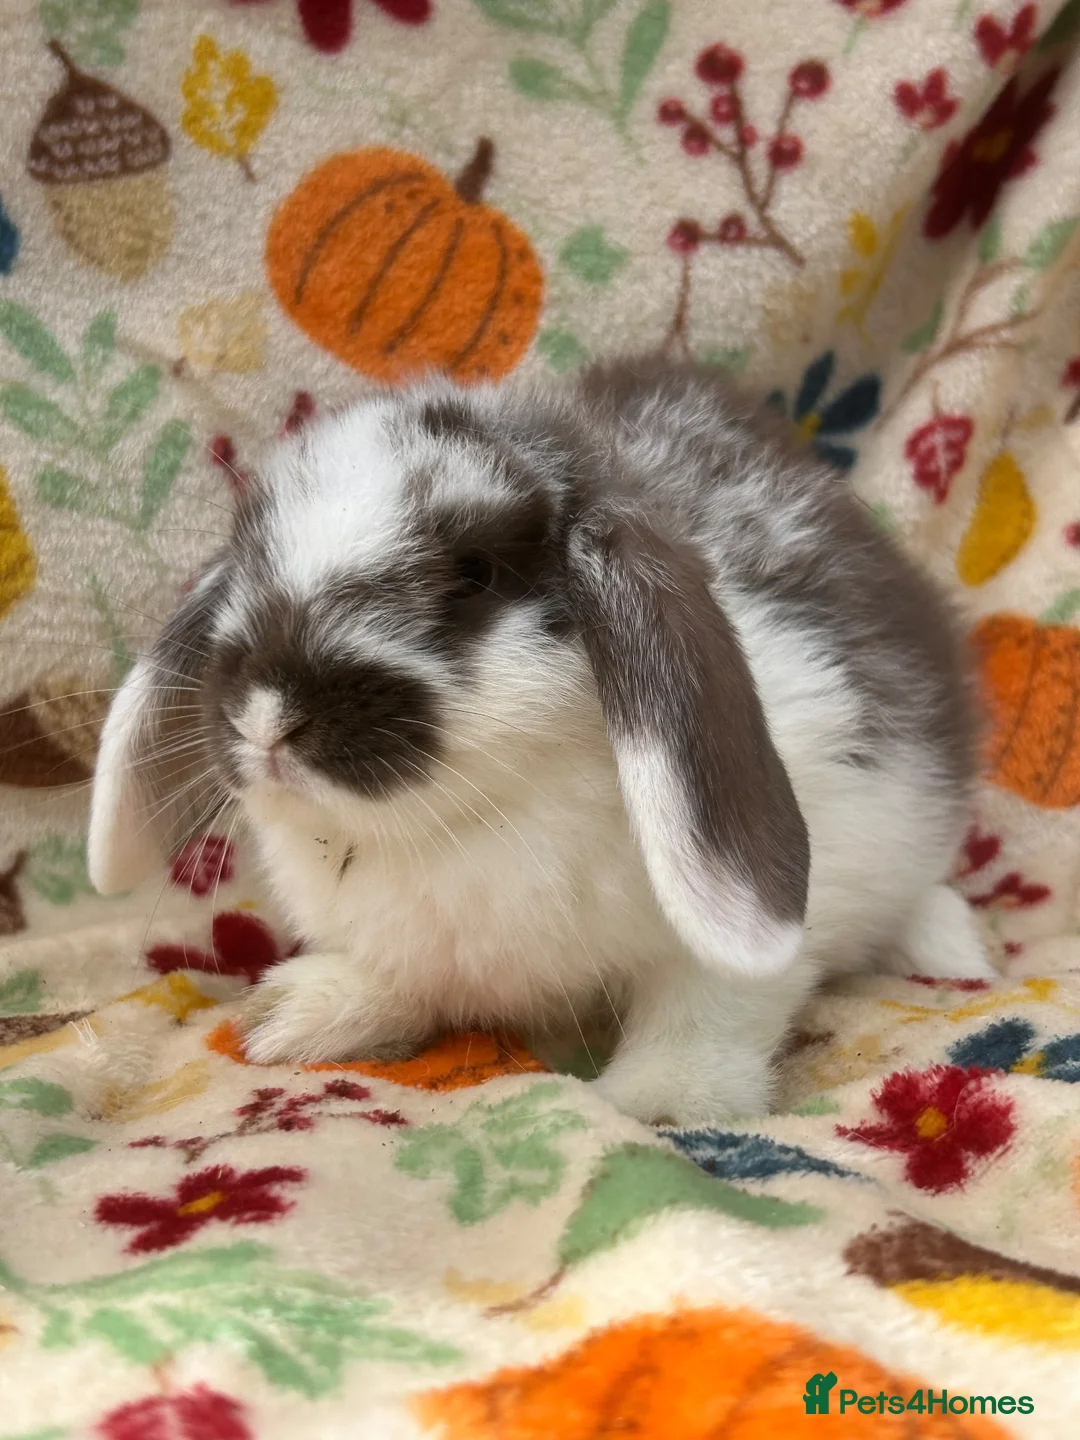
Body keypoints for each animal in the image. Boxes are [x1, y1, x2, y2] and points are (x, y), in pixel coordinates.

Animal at [87, 355, 995, 1127]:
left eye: (475, 573)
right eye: (245, 562)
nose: (269, 716)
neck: (462, 819)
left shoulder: (756, 920)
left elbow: (705, 1008)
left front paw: (660, 1104)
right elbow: (405, 982)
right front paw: (290, 1014)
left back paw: (955, 954)